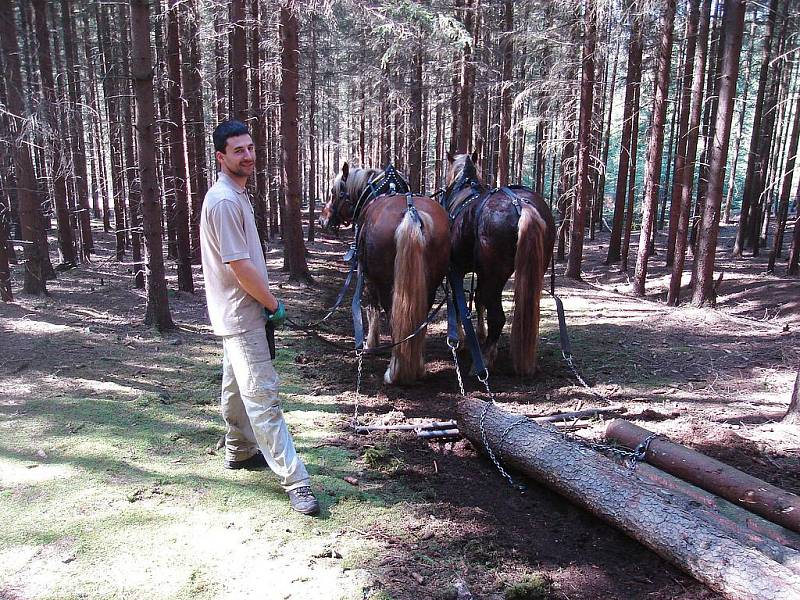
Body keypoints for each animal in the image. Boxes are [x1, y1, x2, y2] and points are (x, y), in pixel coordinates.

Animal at [322, 163, 454, 384]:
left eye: (333, 192)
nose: (323, 219)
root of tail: (411, 212)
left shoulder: (368, 276)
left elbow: (371, 308)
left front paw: (371, 343)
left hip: (385, 282)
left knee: (393, 317)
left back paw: (396, 371)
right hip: (430, 284)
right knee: (419, 320)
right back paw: (417, 368)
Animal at [440, 152, 552, 376]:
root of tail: (521, 205)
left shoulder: (455, 270)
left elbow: (459, 303)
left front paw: (461, 340)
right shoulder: (480, 272)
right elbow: (478, 299)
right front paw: (479, 335)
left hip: (495, 274)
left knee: (498, 317)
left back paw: (483, 360)